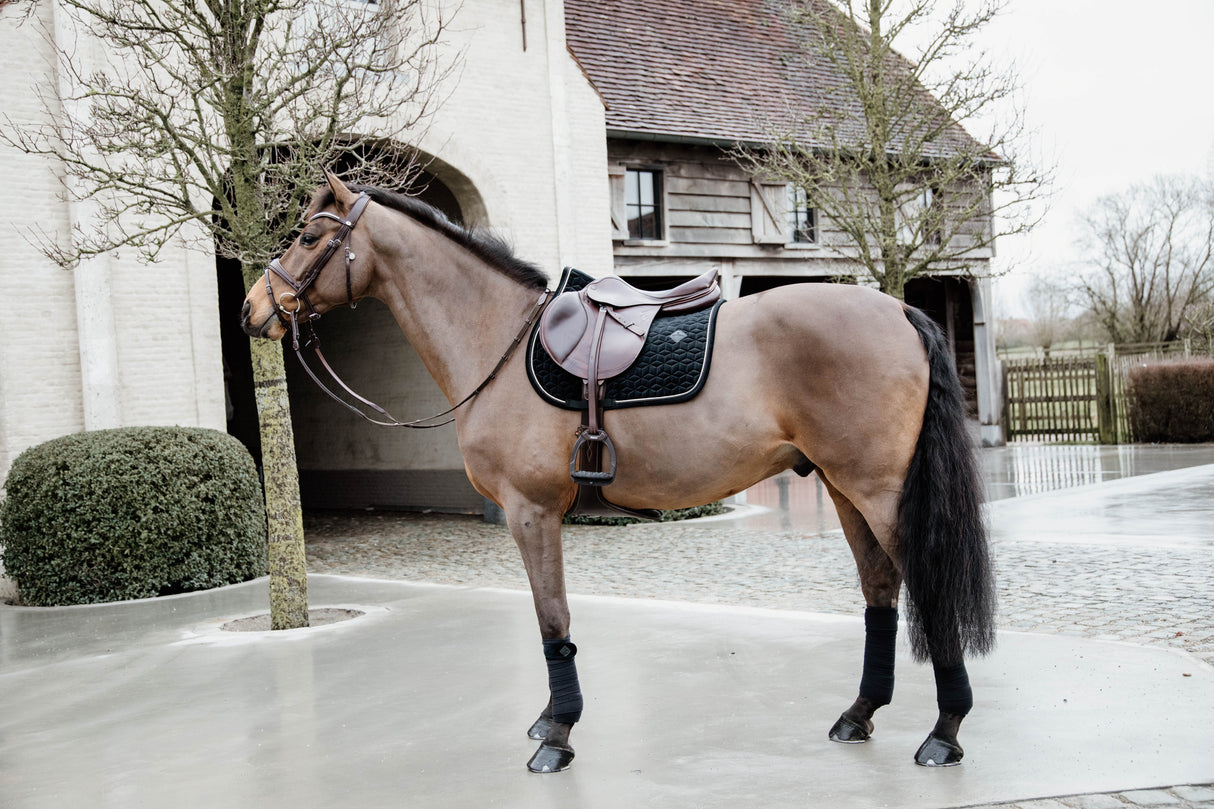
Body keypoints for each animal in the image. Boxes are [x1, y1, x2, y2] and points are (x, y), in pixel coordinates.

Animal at [239, 173, 995, 772]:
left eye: (308, 235)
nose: (252, 309)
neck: (499, 339)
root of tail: (900, 308)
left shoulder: (532, 512)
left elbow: (552, 618)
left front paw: (557, 735)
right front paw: (552, 721)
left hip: (877, 490)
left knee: (923, 585)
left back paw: (945, 731)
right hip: (843, 488)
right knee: (879, 589)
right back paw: (859, 713)